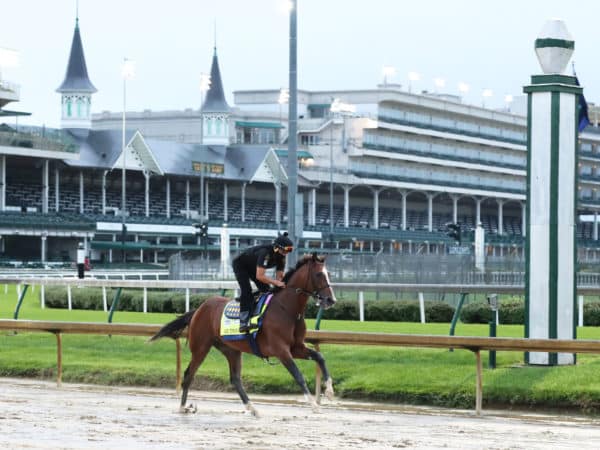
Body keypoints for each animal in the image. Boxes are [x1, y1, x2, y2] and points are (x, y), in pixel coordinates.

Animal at [149, 255, 338, 416]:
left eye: (329, 274)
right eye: (319, 274)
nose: (331, 300)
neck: (287, 310)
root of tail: (199, 309)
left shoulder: (296, 347)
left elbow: (320, 357)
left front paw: (329, 391)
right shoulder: (281, 350)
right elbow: (298, 376)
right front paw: (314, 405)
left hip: (231, 350)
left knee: (235, 379)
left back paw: (252, 408)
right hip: (201, 347)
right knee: (189, 375)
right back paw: (183, 407)